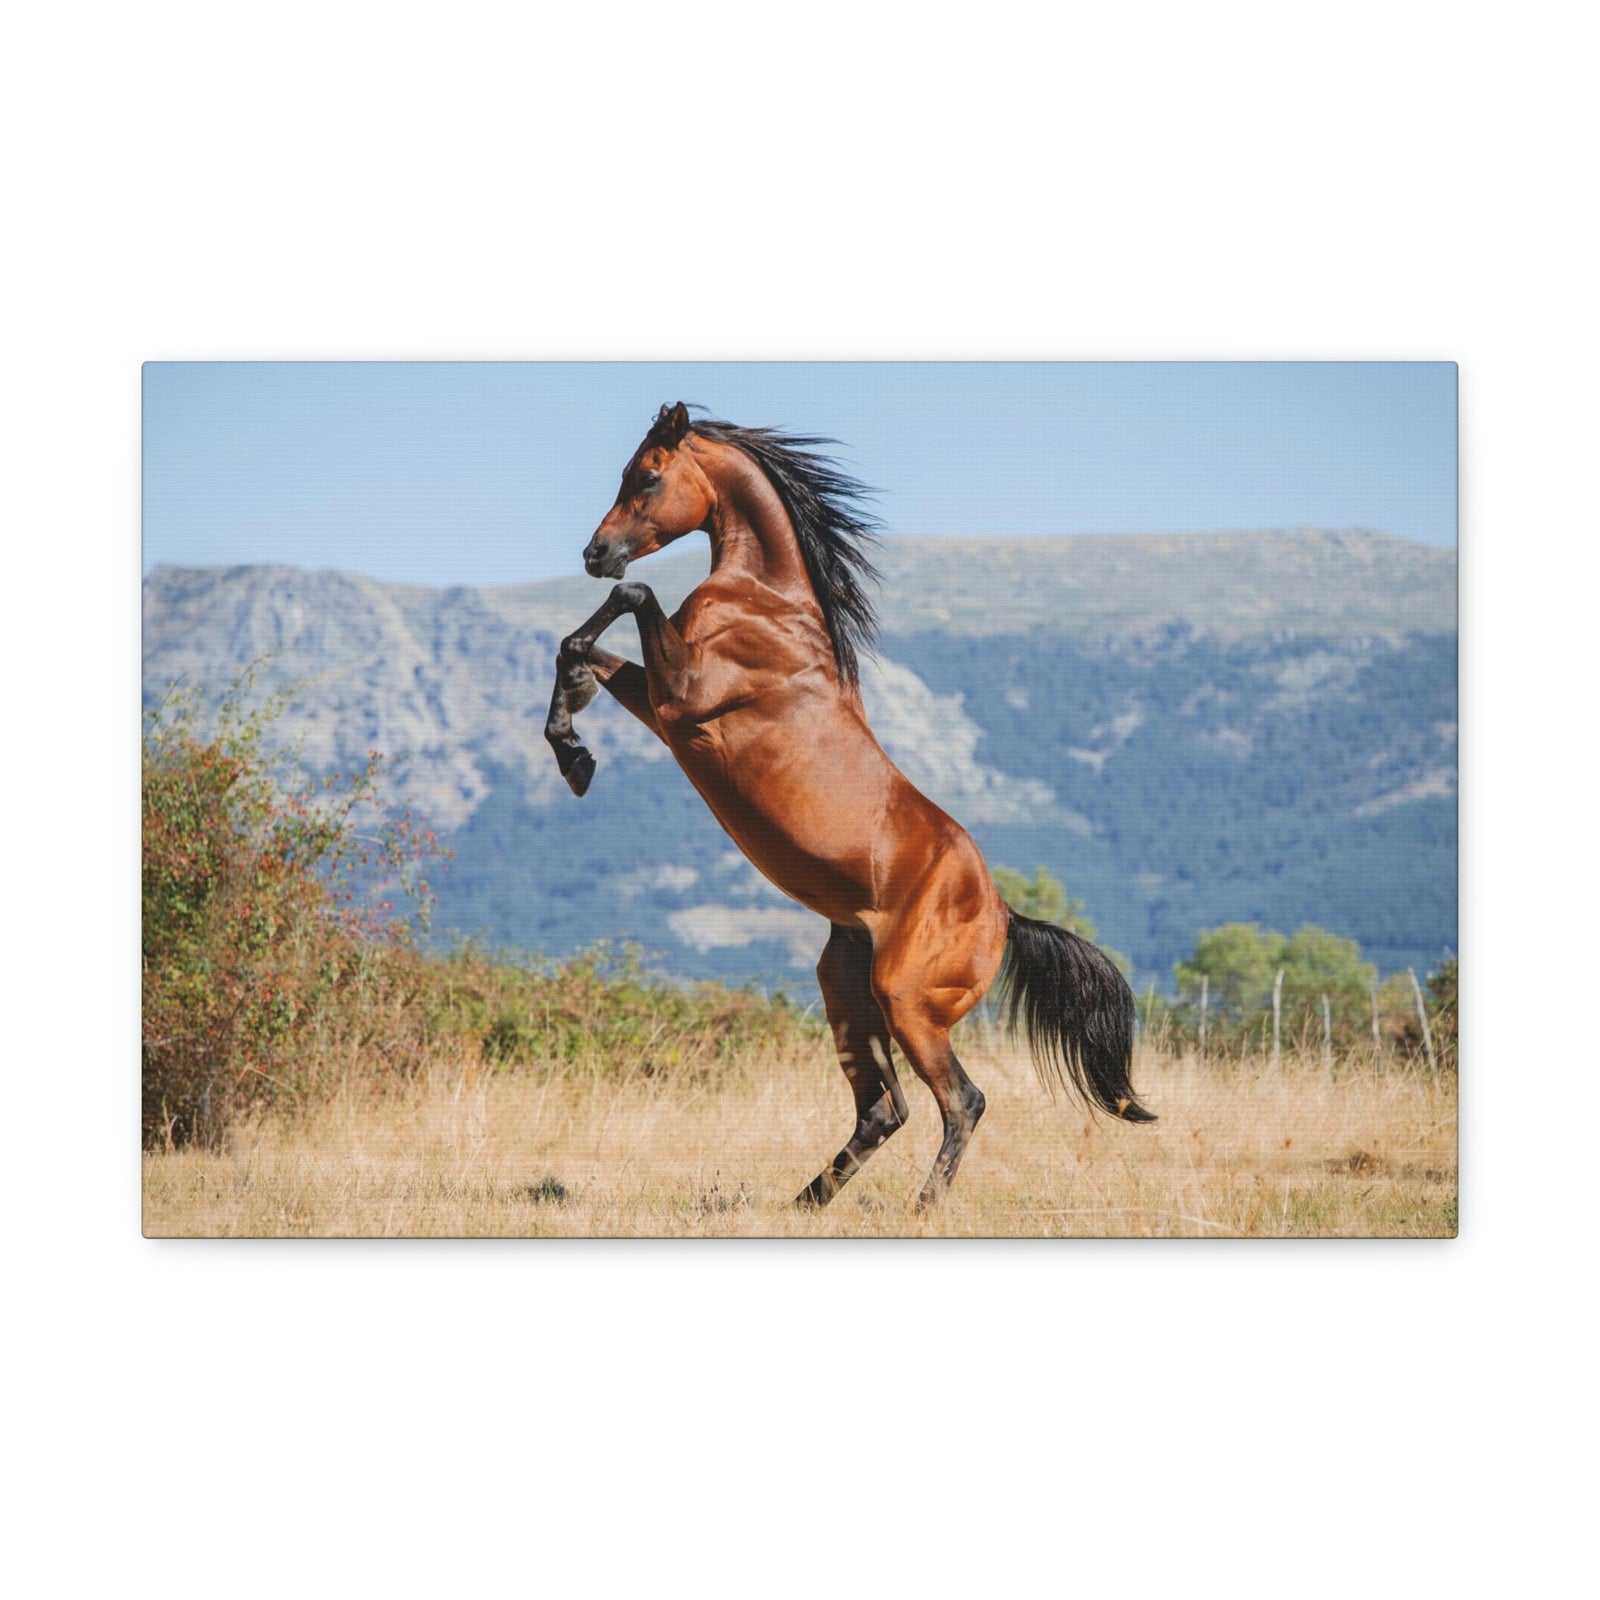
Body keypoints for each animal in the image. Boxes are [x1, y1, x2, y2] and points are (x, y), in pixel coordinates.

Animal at [545, 402, 1154, 1209]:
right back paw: (805, 1201)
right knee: (883, 1109)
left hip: (906, 1001)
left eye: (646, 475)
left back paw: (923, 1205)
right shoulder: (669, 709)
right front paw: (574, 750)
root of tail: (1002, 914)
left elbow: (631, 600)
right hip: (847, 988)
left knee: (960, 1100)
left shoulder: (686, 696)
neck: (767, 603)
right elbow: (579, 647)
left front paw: (574, 743)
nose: (596, 553)